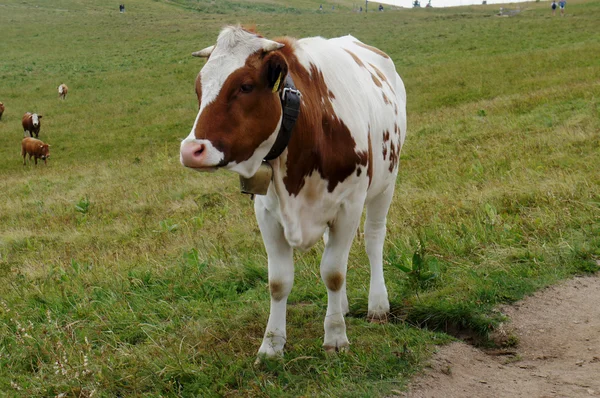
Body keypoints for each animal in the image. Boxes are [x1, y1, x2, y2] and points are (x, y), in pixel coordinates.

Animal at [180, 26, 408, 360]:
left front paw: (335, 337)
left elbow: (333, 273)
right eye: (199, 89)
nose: (191, 150)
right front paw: (272, 345)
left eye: (245, 86)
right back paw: (341, 306)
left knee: (374, 239)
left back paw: (377, 305)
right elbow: (279, 281)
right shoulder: (266, 212)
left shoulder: (349, 206)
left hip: (386, 183)